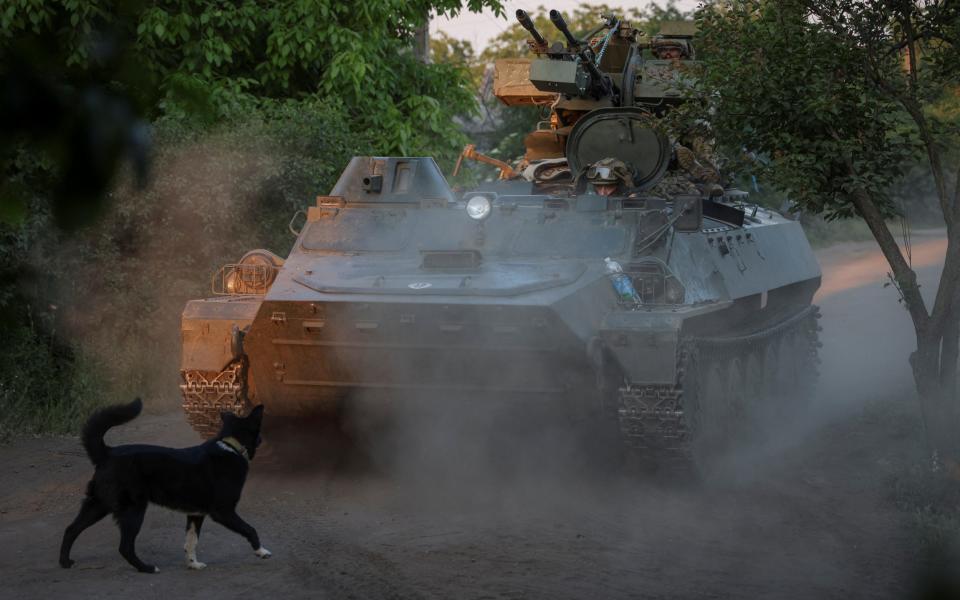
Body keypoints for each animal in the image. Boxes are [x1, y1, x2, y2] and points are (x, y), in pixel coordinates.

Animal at [59, 398, 270, 572]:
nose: (262, 439)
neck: (231, 446)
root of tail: (107, 453)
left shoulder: (196, 514)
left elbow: (191, 541)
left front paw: (193, 564)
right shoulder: (223, 512)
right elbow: (250, 529)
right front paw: (261, 551)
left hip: (98, 504)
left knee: (71, 529)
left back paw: (64, 562)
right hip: (133, 510)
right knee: (125, 547)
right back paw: (146, 568)